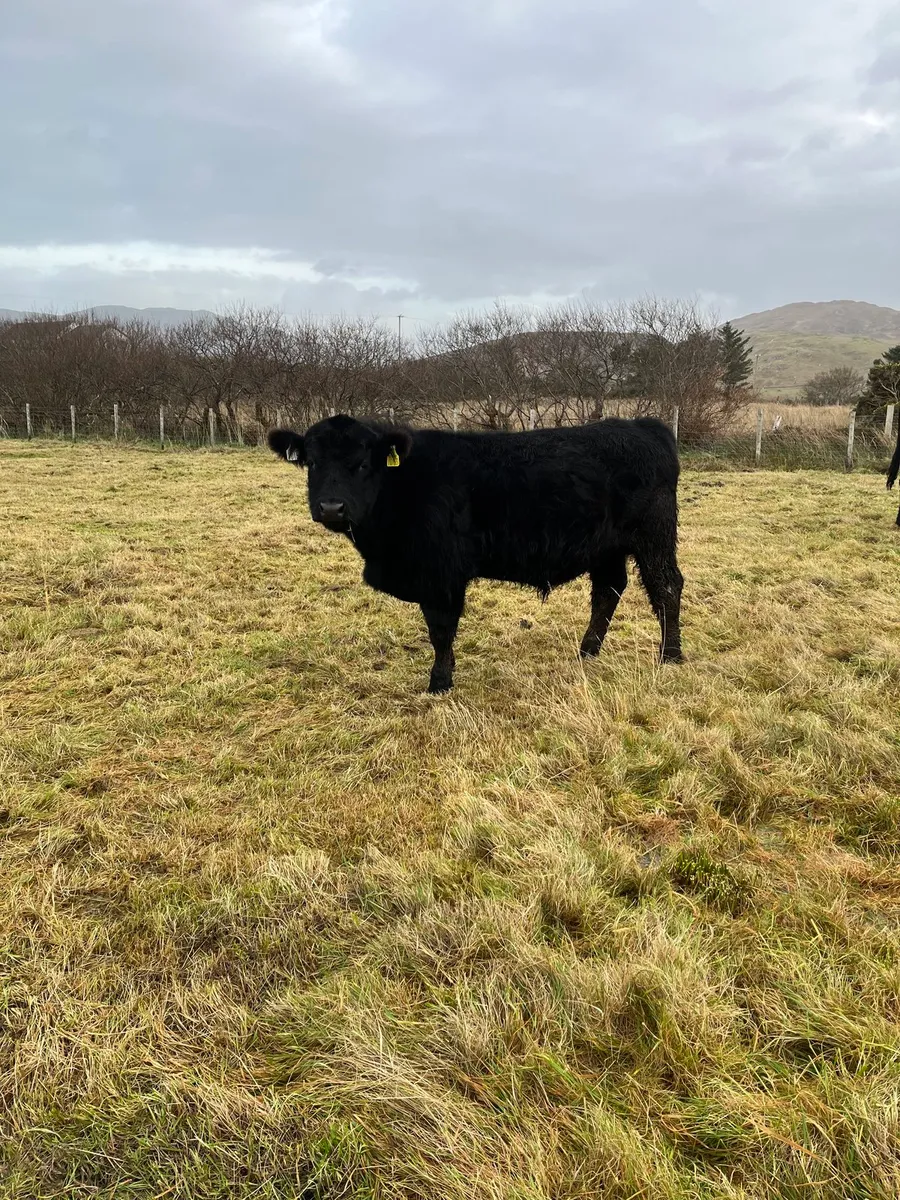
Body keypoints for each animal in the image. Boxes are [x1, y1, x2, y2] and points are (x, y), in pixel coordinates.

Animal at [268, 414, 684, 693]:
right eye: (312, 461)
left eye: (363, 463)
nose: (332, 507)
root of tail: (643, 426)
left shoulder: (442, 574)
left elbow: (440, 630)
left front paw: (439, 683)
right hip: (606, 547)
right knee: (608, 590)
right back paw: (587, 651)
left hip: (654, 535)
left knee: (666, 587)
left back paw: (670, 656)